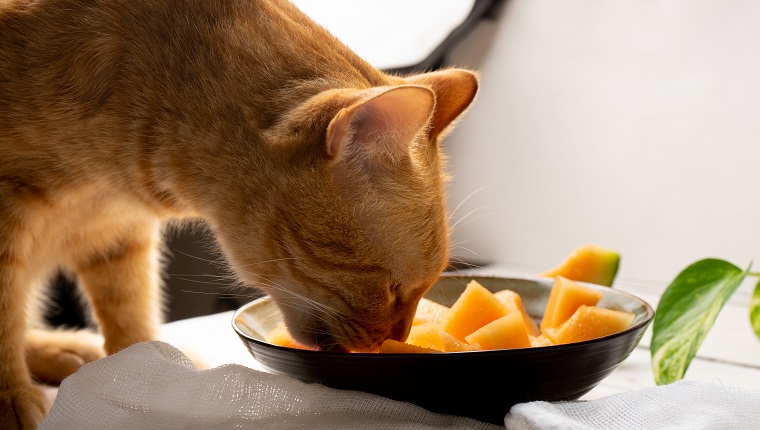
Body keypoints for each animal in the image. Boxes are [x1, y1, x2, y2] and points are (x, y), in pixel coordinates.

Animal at [0, 0, 478, 424]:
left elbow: (131, 319)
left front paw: (137, 372)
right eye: (393, 288)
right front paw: (13, 401)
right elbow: (6, 320)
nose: (395, 341)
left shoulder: (120, 238)